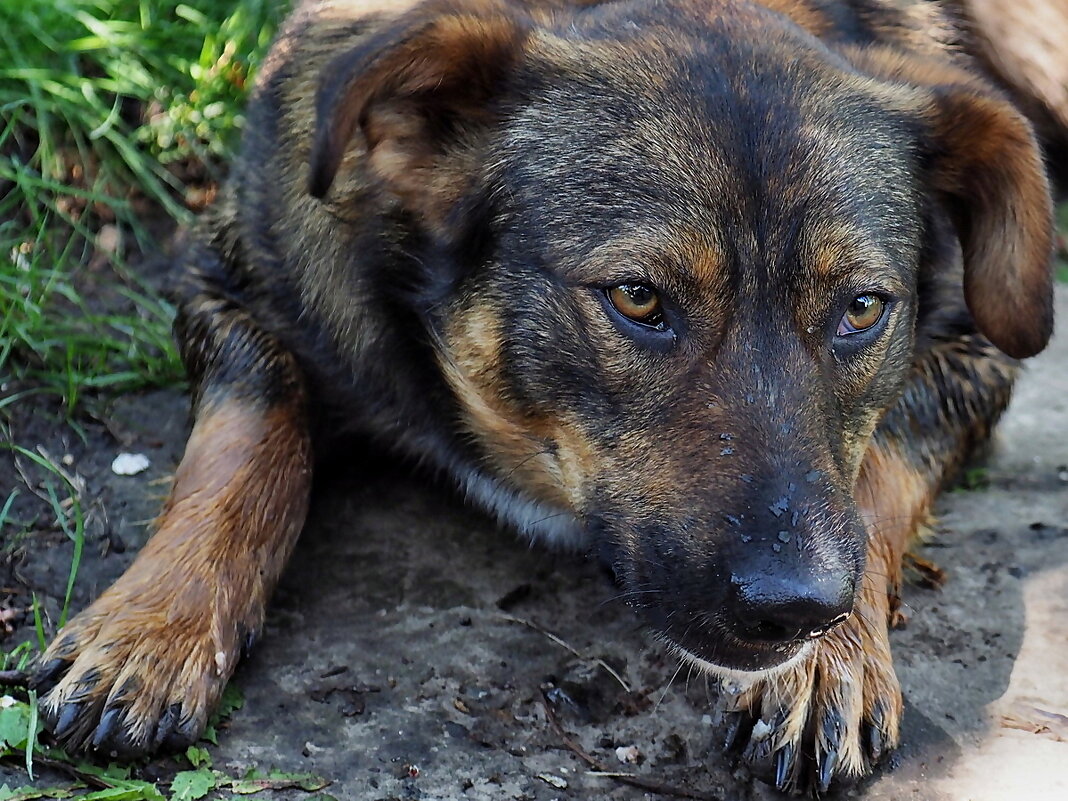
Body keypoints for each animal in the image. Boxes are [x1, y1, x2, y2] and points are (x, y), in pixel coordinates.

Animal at [29, 0, 1063, 798]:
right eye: (638, 298)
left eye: (860, 309)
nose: (797, 610)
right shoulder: (234, 280)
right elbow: (249, 429)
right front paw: (153, 622)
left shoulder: (975, 351)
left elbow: (878, 464)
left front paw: (834, 659)